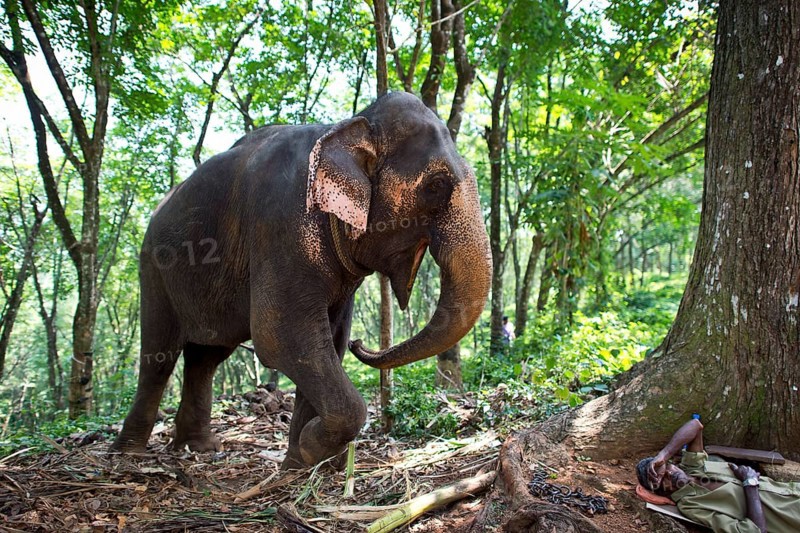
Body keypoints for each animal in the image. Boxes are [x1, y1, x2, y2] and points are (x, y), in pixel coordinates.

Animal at [110, 92, 492, 469]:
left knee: (205, 358)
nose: (362, 344)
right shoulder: (281, 224)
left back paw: (199, 447)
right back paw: (129, 452)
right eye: (436, 185)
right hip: (153, 268)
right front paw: (313, 450)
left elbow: (329, 339)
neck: (348, 125)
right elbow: (281, 335)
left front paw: (304, 463)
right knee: (159, 357)